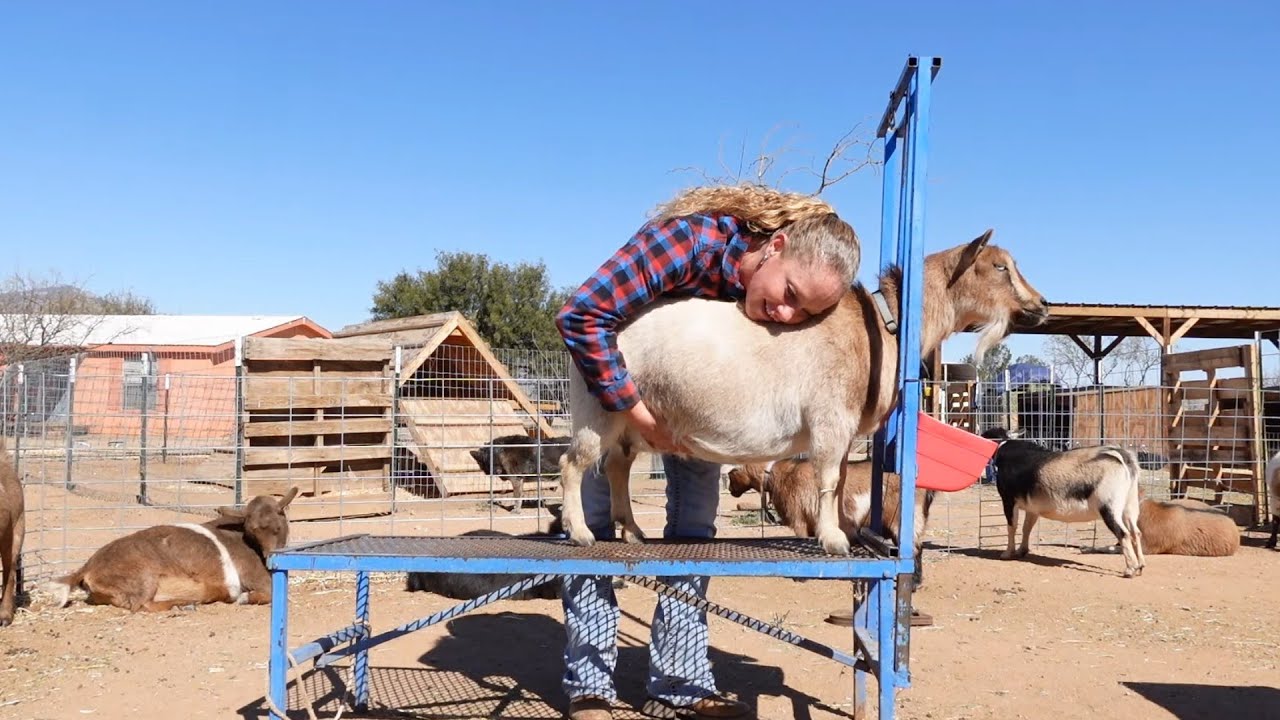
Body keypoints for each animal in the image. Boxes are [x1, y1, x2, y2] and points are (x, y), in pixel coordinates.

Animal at [48, 487, 298, 612]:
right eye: (252, 530)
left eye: (278, 526)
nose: (269, 557)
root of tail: (87, 567)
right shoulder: (257, 577)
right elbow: (269, 593)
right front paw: (244, 598)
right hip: (144, 577)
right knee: (142, 605)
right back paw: (183, 604)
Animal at [558, 230, 1048, 554]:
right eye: (999, 266)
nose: (1041, 306)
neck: (882, 324)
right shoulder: (831, 416)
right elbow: (828, 478)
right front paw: (834, 540)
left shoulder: (846, 428)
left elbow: (844, 478)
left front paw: (846, 531)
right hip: (598, 409)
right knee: (573, 464)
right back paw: (581, 533)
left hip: (628, 424)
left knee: (618, 466)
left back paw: (633, 530)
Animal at [982, 428, 1145, 578]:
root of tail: (1121, 455)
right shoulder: (1032, 508)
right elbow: (1026, 528)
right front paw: (1022, 551)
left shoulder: (1008, 500)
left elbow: (1012, 527)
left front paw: (1007, 553)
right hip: (1130, 504)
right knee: (1135, 532)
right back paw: (1140, 566)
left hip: (1109, 506)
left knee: (1123, 533)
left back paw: (1130, 569)